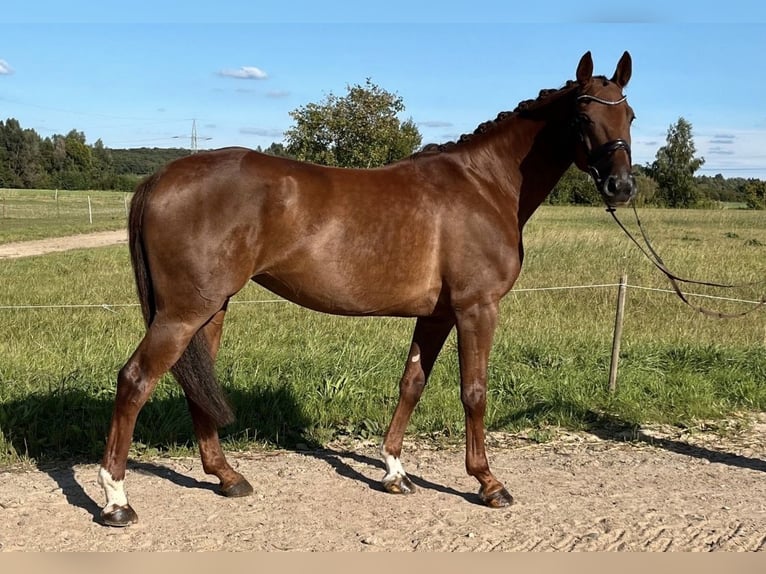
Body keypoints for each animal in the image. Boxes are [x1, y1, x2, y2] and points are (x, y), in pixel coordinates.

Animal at [97, 51, 636, 528]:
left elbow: (412, 382)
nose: (621, 187)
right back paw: (116, 500)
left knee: (194, 387)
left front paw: (394, 471)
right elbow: (474, 392)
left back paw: (227, 477)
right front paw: (487, 482)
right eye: (582, 116)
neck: (483, 184)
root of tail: (161, 176)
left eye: (629, 114)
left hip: (209, 310)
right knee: (136, 380)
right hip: (182, 312)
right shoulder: (476, 308)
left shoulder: (437, 314)